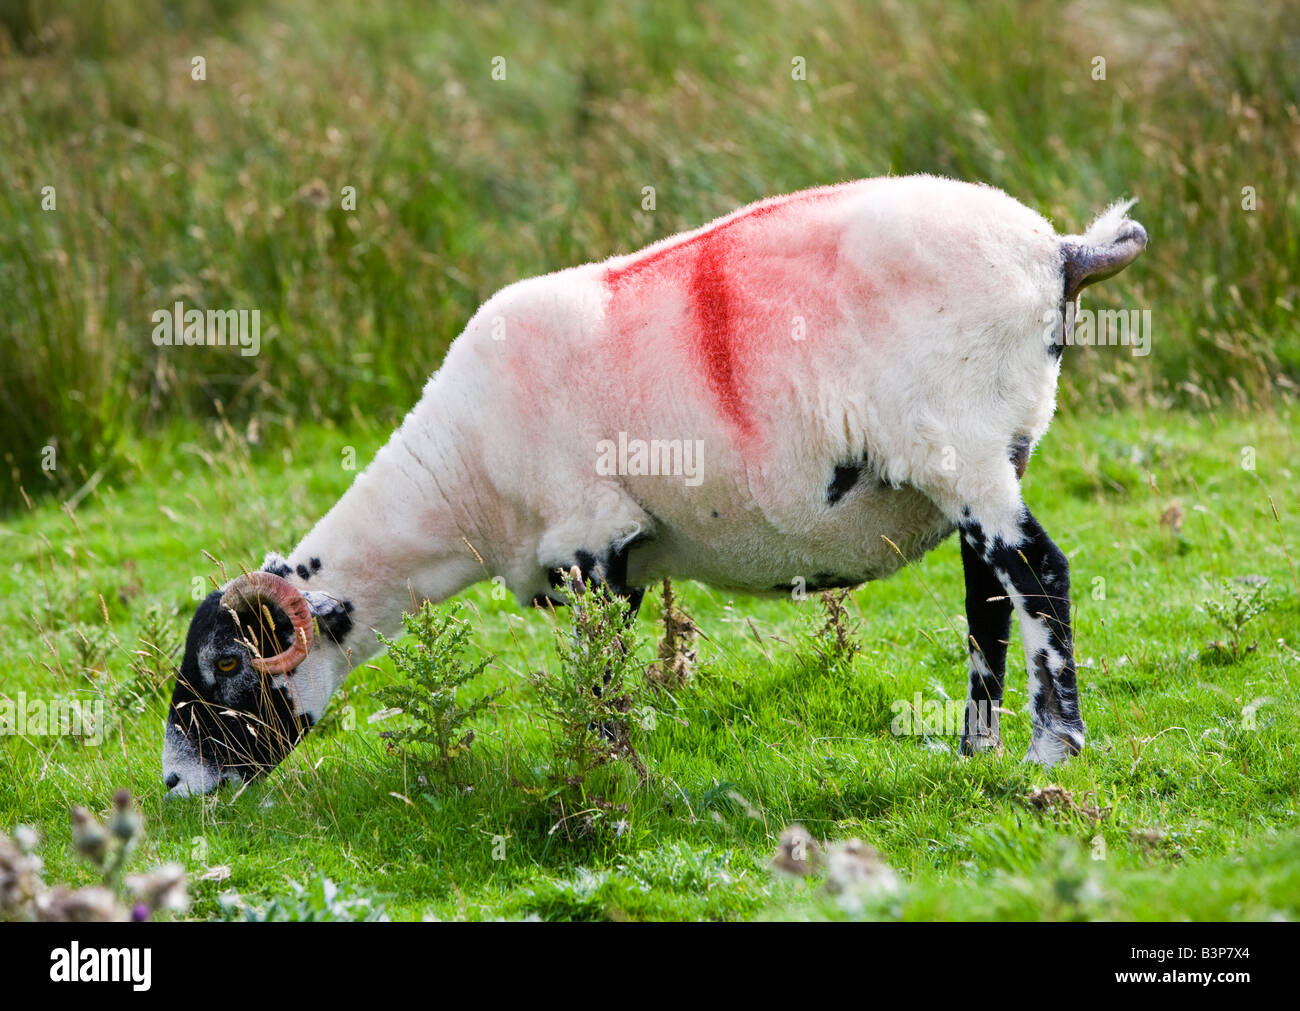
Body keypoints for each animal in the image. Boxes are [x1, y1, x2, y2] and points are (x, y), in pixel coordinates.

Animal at [162, 172, 1149, 790]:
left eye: (227, 664)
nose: (175, 782)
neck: (457, 486)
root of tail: (1059, 251)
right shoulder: (617, 559)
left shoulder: (594, 542)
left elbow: (600, 679)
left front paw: (608, 775)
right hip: (988, 459)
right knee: (990, 599)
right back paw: (976, 749)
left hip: (963, 448)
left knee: (1041, 575)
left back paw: (1053, 751)